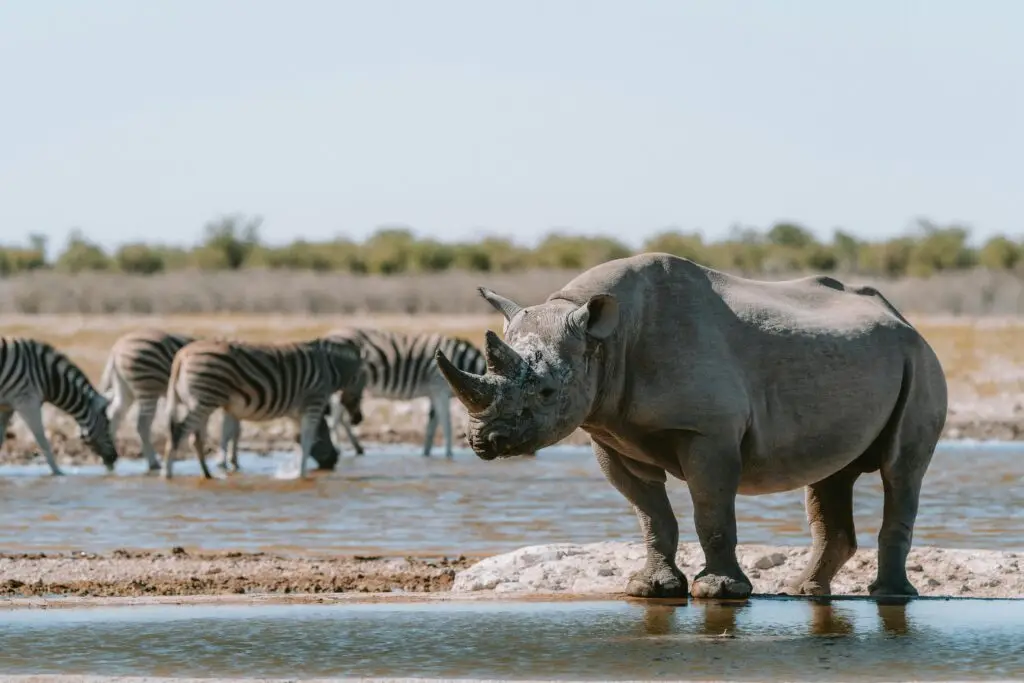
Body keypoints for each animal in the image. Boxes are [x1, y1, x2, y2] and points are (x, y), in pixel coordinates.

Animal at [0, 335, 118, 475]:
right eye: (107, 424)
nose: (115, 458)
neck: (47, 377)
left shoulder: (7, 407)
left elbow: (0, 438)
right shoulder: (27, 402)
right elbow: (42, 440)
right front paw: (57, 473)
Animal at [98, 329, 344, 473]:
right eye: (323, 435)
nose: (333, 461)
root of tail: (117, 347)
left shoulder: (233, 404)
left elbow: (233, 431)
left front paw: (231, 461)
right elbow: (230, 431)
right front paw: (225, 462)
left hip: (126, 389)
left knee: (114, 415)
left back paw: (109, 458)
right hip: (147, 387)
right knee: (143, 424)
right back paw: (154, 463)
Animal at [161, 337, 366, 481]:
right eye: (362, 388)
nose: (358, 419)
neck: (330, 369)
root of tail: (181, 356)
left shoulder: (296, 411)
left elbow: (299, 439)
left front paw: (294, 472)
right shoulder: (314, 401)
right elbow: (307, 440)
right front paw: (301, 475)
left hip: (199, 402)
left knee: (195, 438)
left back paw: (207, 474)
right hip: (204, 400)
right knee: (178, 433)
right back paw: (167, 475)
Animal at [323, 327, 491, 458]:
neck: (462, 366)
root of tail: (331, 335)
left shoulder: (434, 393)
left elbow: (431, 426)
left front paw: (426, 454)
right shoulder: (440, 390)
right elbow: (446, 425)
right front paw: (449, 455)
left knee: (342, 417)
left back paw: (358, 448)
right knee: (335, 418)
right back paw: (338, 449)